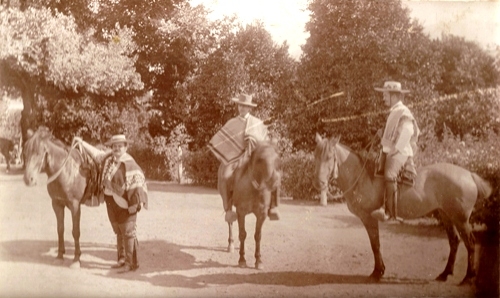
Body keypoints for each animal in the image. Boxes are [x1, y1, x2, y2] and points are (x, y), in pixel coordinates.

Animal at [23, 126, 97, 268]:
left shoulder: (75, 206)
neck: (66, 172)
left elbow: (75, 231)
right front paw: (59, 256)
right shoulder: (57, 204)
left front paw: (76, 259)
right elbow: (60, 229)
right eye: (25, 152)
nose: (28, 180)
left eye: (38, 153)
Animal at [229, 140, 284, 270]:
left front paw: (258, 260)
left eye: (278, 158)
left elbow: (258, 236)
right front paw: (242, 260)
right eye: (260, 159)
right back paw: (231, 244)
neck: (254, 189)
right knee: (230, 222)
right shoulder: (241, 212)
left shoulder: (261, 214)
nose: (274, 181)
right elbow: (242, 234)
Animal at [312, 134, 492, 284]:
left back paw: (468, 278)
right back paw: (444, 274)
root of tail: (469, 175)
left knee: (470, 243)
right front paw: (380, 270)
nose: (319, 183)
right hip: (446, 215)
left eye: (329, 157)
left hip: (461, 219)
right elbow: (375, 244)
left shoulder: (369, 218)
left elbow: (375, 244)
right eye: (315, 156)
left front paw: (377, 272)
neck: (363, 177)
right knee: (454, 241)